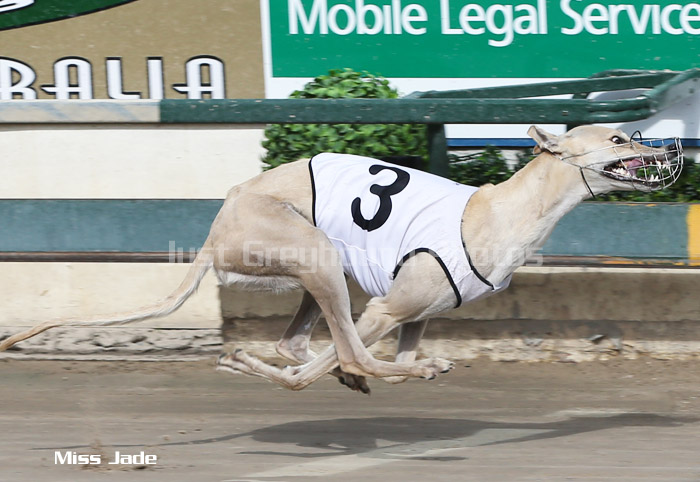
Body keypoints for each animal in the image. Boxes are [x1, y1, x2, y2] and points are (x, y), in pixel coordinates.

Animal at [0, 125, 683, 394]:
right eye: (619, 137)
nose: (670, 146)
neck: (499, 210)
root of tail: (219, 221)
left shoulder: (414, 318)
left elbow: (355, 358)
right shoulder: (386, 308)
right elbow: (349, 357)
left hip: (314, 272)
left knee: (297, 346)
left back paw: (261, 360)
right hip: (319, 254)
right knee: (339, 352)